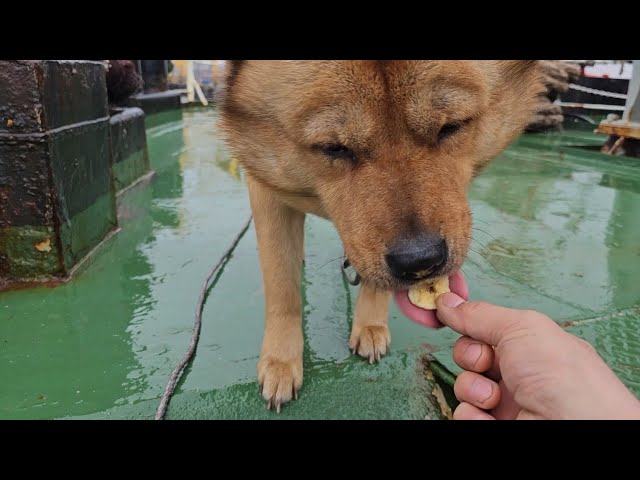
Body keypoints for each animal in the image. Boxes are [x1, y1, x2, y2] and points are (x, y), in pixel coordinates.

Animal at [218, 60, 544, 412]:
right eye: (334, 148)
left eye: (451, 127)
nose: (420, 260)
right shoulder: (266, 190)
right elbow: (282, 286)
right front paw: (281, 359)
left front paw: (370, 323)